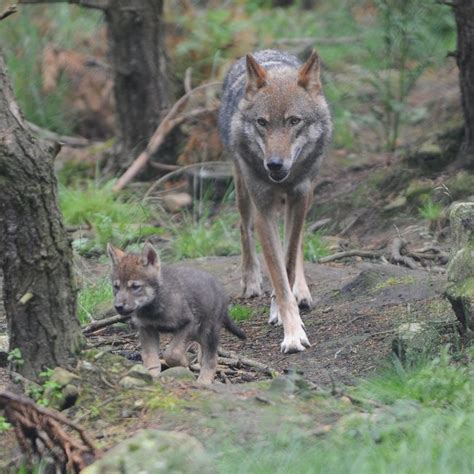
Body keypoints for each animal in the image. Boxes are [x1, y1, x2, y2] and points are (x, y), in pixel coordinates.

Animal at [218, 50, 332, 354]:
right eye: (262, 122)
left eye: (294, 121)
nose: (274, 165)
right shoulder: (263, 211)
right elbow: (278, 275)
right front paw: (292, 333)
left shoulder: (300, 197)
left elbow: (289, 262)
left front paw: (284, 309)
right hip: (242, 190)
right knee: (244, 229)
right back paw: (251, 280)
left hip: (306, 196)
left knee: (298, 241)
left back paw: (301, 291)